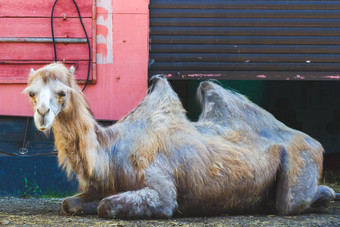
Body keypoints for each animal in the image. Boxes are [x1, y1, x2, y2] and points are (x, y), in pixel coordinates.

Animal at [24, 63, 334, 219]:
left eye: (62, 93)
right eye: (31, 93)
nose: (42, 114)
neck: (110, 151)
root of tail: (316, 143)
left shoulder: (160, 188)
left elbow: (107, 206)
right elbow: (69, 203)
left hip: (301, 158)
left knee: (291, 203)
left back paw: (327, 194)